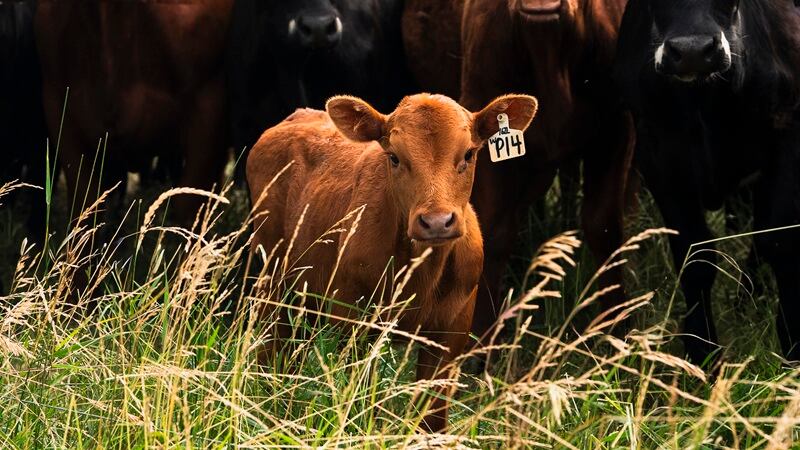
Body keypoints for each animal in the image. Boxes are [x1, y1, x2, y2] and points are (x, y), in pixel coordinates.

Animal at [247, 93, 538, 431]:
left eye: (468, 153)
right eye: (395, 157)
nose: (436, 222)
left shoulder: (451, 336)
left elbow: (432, 417)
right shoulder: (353, 322)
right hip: (272, 279)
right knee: (271, 353)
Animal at [614, 0, 800, 363]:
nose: (692, 52)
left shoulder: (789, 134)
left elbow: (782, 243)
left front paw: (793, 344)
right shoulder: (657, 154)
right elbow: (695, 254)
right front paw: (703, 353)